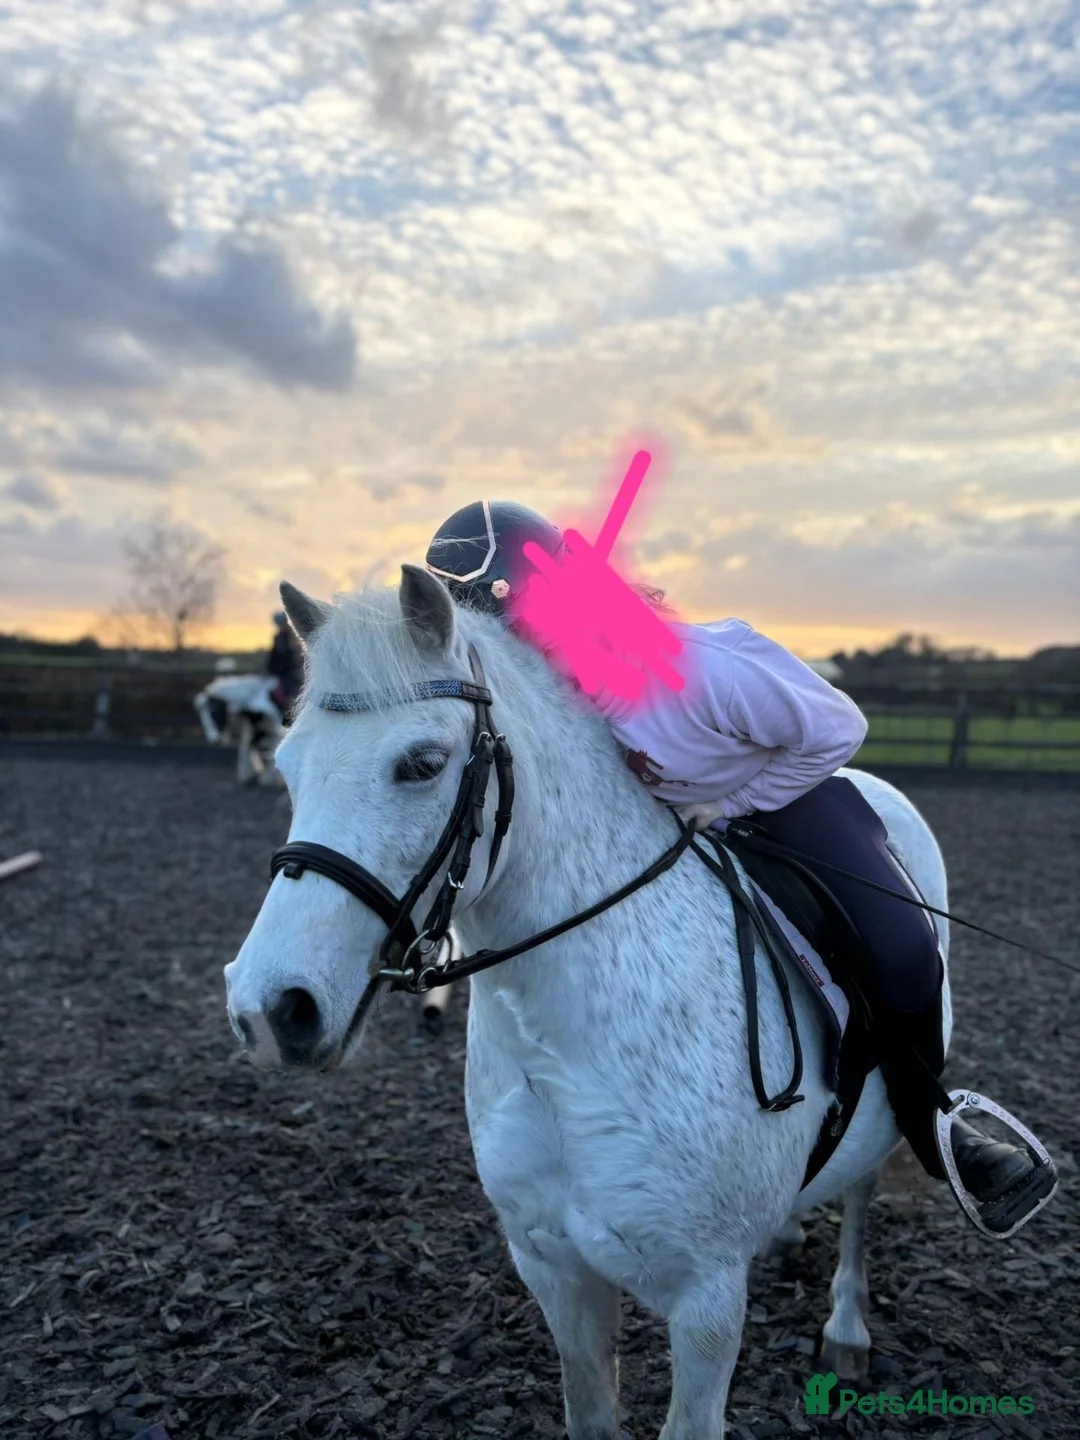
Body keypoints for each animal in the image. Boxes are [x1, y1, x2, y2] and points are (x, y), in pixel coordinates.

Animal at [224, 567, 954, 1439]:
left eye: (423, 763)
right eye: (288, 765)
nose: (272, 1009)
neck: (566, 1049)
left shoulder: (707, 1303)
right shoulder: (554, 1270)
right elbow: (590, 1410)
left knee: (862, 1192)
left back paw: (847, 1328)